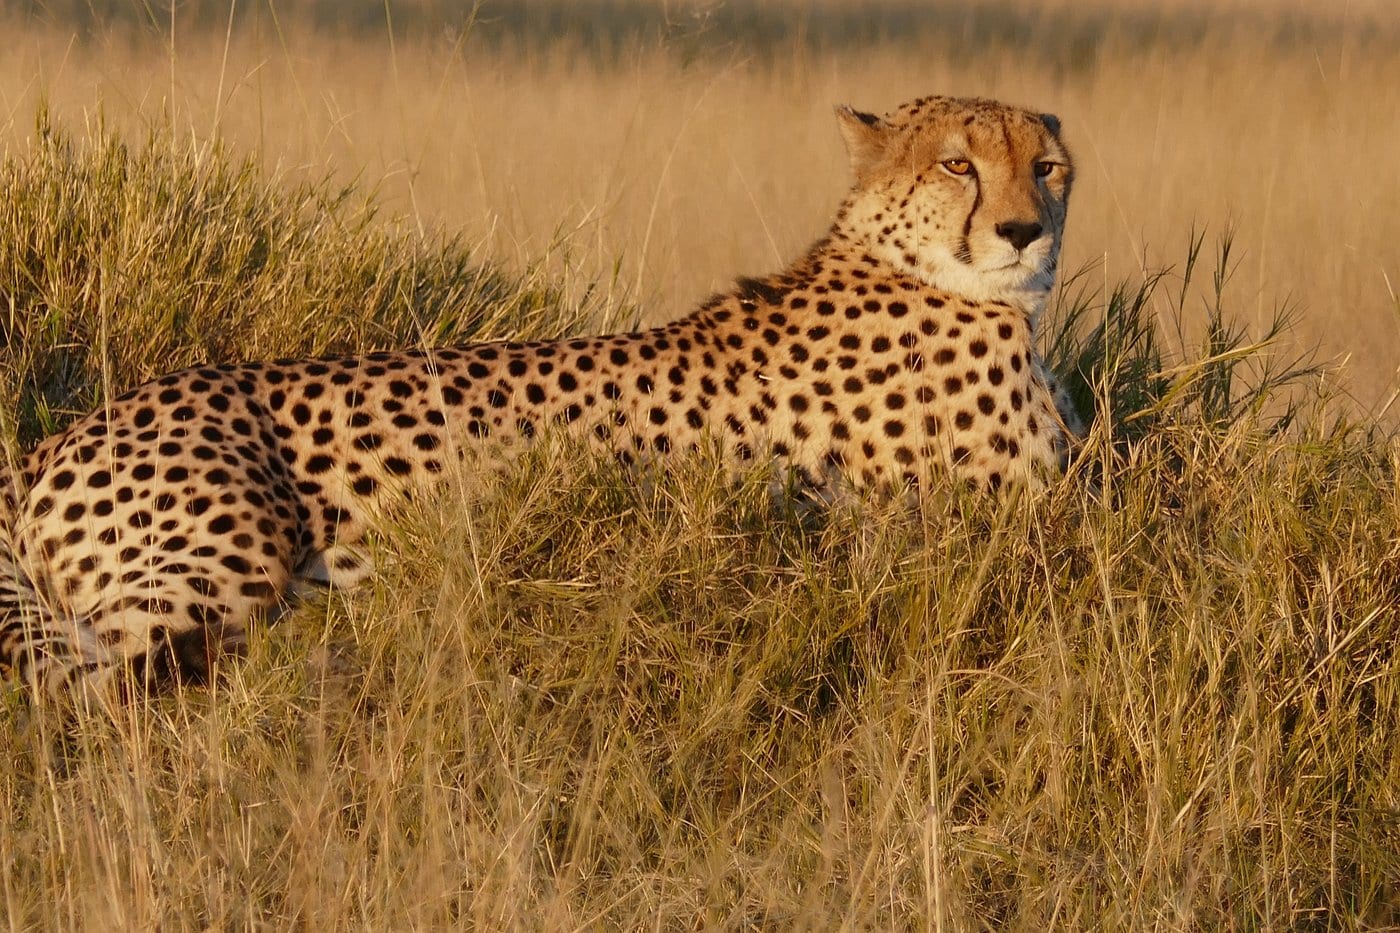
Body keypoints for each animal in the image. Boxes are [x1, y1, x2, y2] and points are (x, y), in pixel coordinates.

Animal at [0, 94, 1082, 697]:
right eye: (957, 163)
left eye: (1047, 168)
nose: (1025, 230)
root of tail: (64, 434)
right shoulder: (1016, 517)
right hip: (219, 563)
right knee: (90, 682)